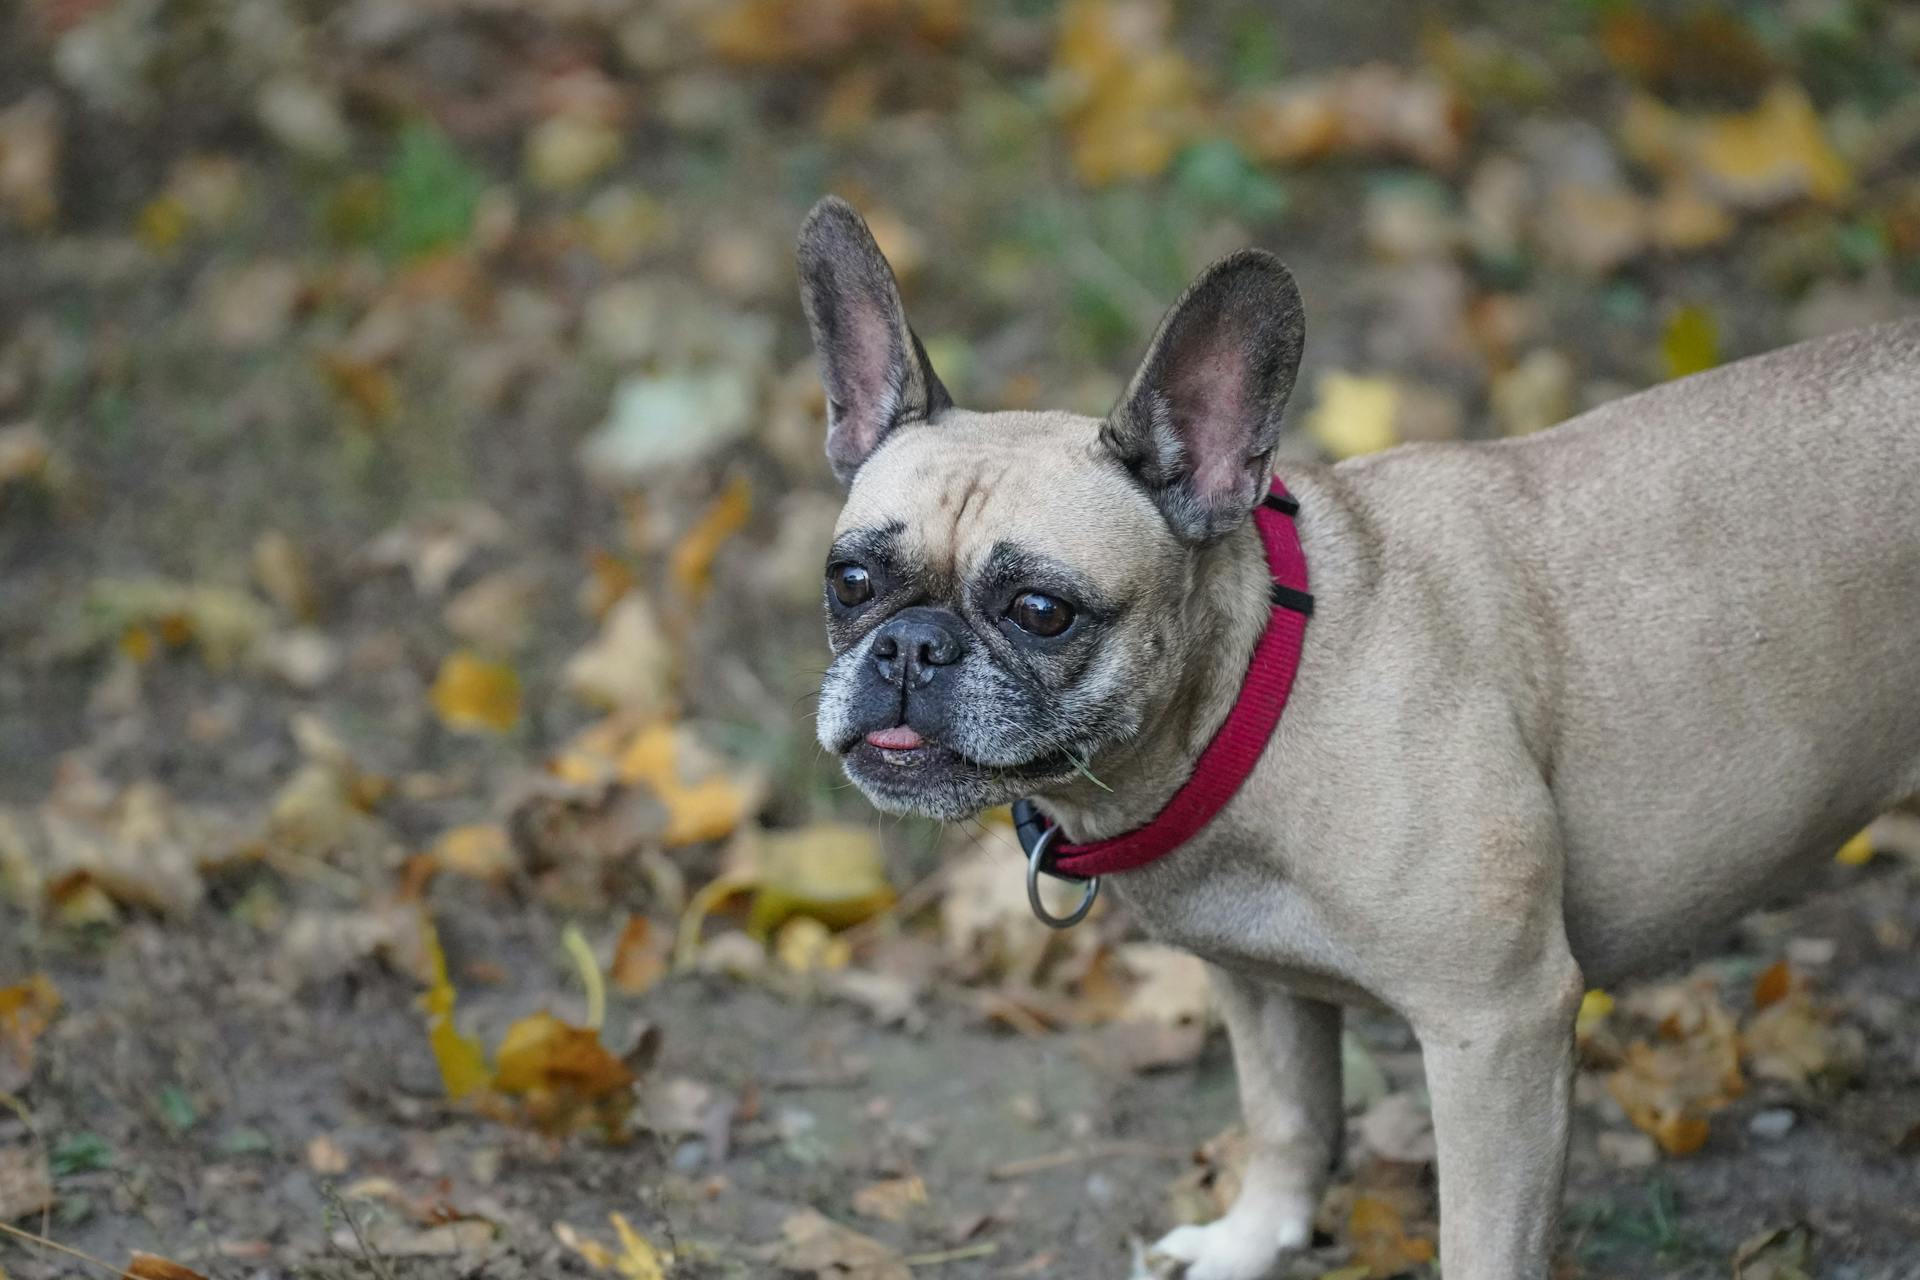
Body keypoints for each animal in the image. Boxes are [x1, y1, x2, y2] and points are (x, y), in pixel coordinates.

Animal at [794, 192, 1920, 1280]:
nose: (911, 648)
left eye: (1040, 610)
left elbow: (1483, 1240)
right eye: (849, 582)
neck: (1259, 688)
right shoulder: (1257, 981)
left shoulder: (1498, 1025)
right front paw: (1249, 1245)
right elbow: (1288, 1120)